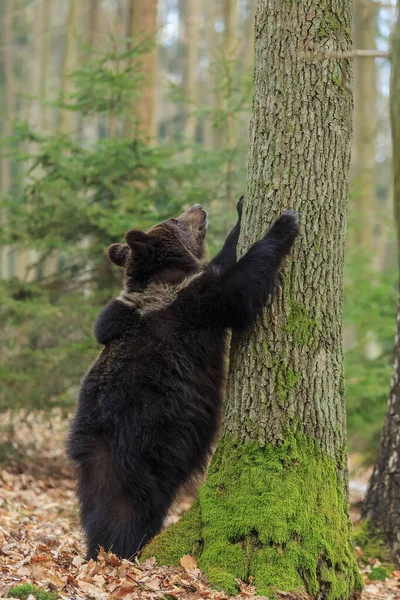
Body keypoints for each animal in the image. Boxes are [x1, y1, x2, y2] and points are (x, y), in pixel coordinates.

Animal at [67, 199, 300, 560]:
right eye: (175, 219)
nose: (198, 207)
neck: (163, 281)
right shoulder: (193, 305)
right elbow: (238, 290)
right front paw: (284, 224)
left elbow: (223, 261)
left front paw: (240, 211)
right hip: (142, 440)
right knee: (130, 505)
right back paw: (122, 549)